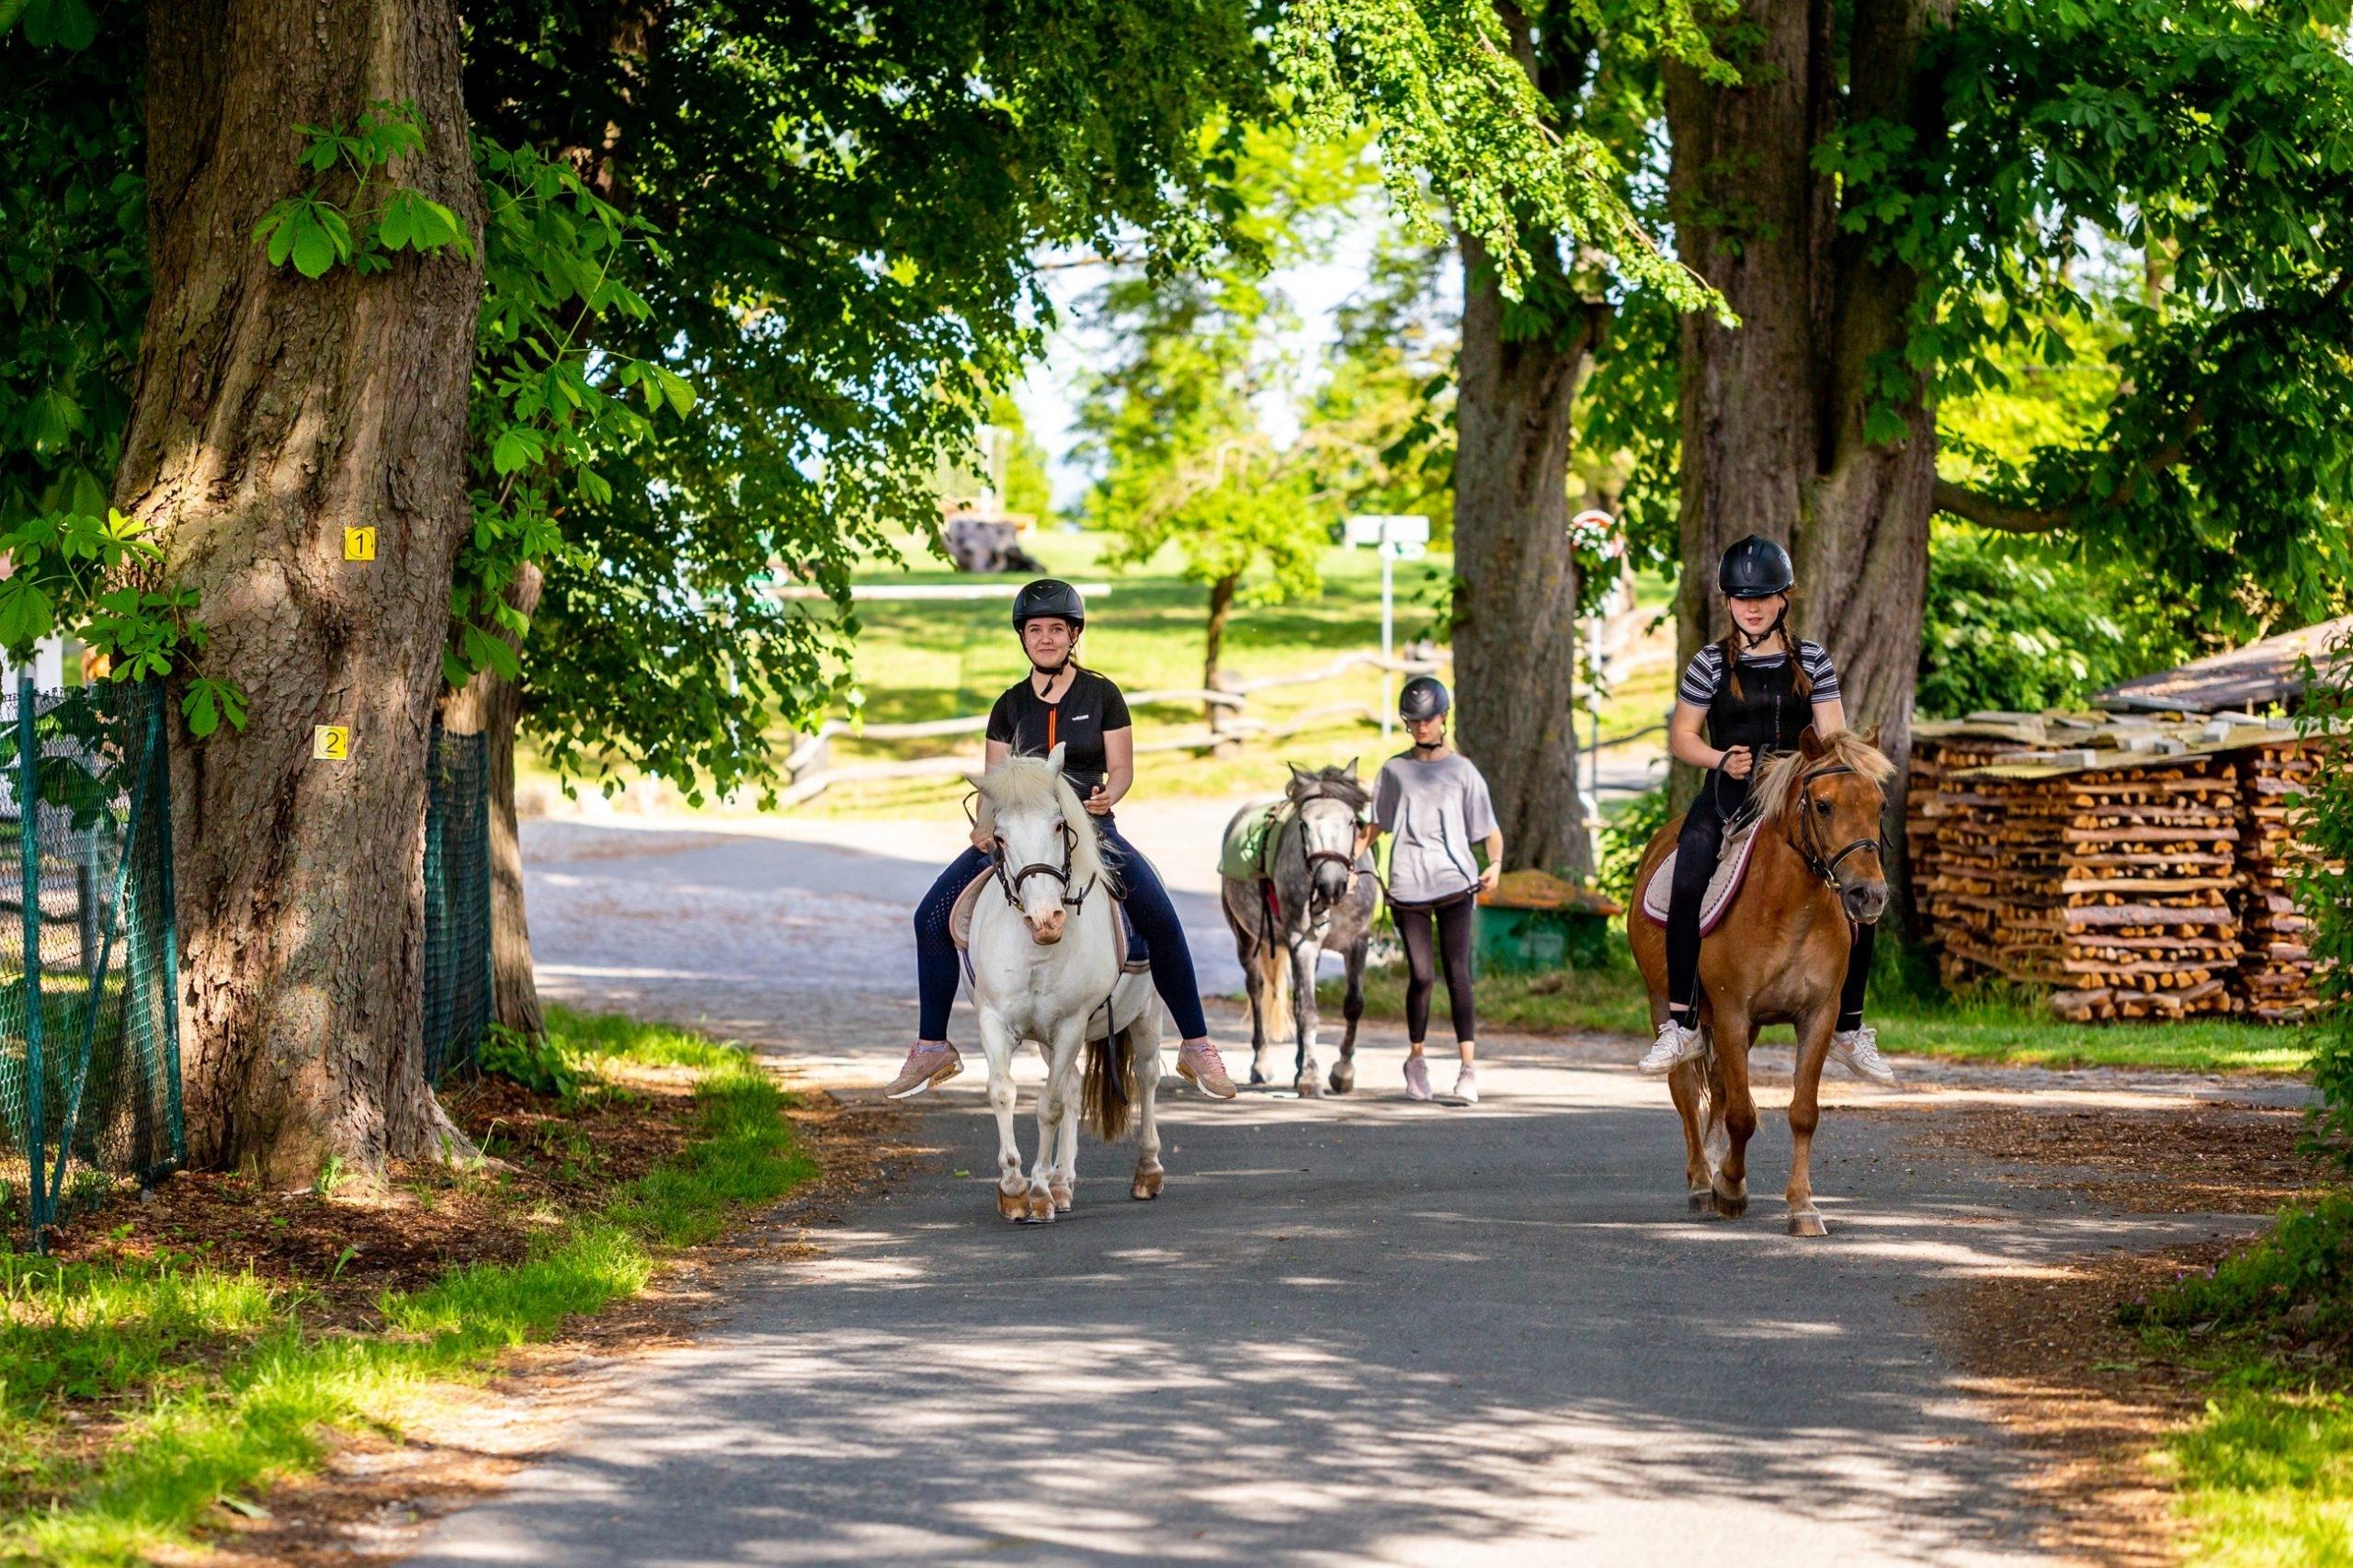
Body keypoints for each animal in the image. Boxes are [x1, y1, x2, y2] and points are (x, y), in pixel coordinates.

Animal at [964, 744, 1167, 1223]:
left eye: (1059, 825)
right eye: (999, 838)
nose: (1046, 920)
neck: (1038, 951)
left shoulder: (1071, 1024)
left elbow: (1049, 1106)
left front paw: (1037, 1192)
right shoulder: (995, 1021)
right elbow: (1003, 1092)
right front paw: (1015, 1187)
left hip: (1146, 1015)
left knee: (1147, 1076)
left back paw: (1147, 1172)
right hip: (1048, 1040)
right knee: (1074, 1087)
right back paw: (1063, 1183)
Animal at [1219, 761, 1381, 1096]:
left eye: (1351, 821)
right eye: (1304, 824)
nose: (1331, 884)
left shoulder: (1358, 942)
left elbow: (1353, 1005)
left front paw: (1342, 1071)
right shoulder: (1303, 944)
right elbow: (1308, 1011)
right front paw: (1310, 1077)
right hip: (1246, 937)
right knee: (1256, 990)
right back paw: (1261, 1064)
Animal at [1626, 728, 1893, 1237]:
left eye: (1880, 805)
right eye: (1824, 805)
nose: (1868, 895)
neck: (1788, 910)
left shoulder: (1817, 1016)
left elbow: (1802, 1113)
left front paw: (1803, 1207)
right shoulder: (1732, 1013)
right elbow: (1742, 1115)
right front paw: (1729, 1190)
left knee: (1719, 1088)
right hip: (1664, 1004)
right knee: (1685, 1090)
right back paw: (1700, 1182)